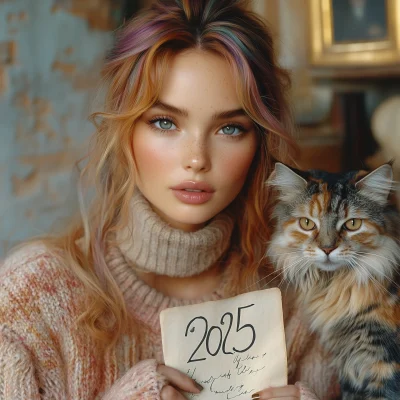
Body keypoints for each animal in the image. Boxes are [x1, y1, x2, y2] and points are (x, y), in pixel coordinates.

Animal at [266, 162, 400, 400]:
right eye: (307, 223)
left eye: (353, 224)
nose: (327, 249)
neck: (334, 287)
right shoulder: (351, 364)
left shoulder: (383, 362)